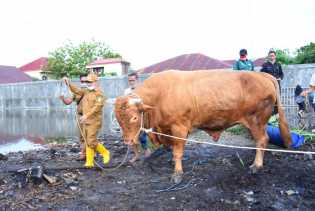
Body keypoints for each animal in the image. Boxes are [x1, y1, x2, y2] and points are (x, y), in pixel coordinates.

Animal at [115, 69, 292, 183]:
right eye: (118, 119)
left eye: (134, 117)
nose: (127, 141)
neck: (160, 95)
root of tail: (262, 74)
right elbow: (173, 150)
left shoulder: (179, 128)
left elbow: (177, 152)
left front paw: (177, 173)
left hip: (257, 121)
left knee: (262, 140)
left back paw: (256, 165)